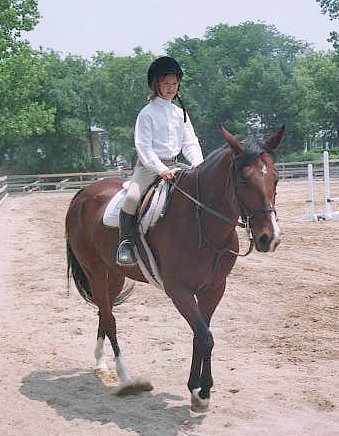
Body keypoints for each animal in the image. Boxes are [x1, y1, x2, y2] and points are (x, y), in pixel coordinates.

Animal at [65, 124, 284, 410]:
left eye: (276, 179)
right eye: (244, 180)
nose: (270, 238)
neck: (201, 222)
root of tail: (83, 194)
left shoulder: (213, 289)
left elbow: (202, 335)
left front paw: (198, 388)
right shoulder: (179, 291)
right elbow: (205, 336)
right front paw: (201, 392)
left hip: (114, 275)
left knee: (104, 312)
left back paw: (101, 364)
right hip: (95, 272)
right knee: (110, 319)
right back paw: (126, 379)